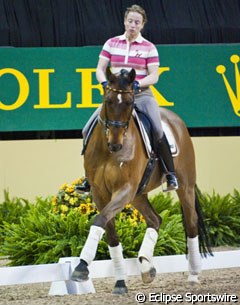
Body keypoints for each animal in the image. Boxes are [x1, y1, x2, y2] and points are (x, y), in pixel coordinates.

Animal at [71, 67, 210, 292]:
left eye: (129, 103)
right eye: (108, 100)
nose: (116, 144)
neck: (108, 151)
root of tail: (175, 120)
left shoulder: (124, 189)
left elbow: (100, 220)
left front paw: (81, 267)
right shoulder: (100, 193)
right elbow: (110, 234)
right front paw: (119, 282)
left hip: (185, 186)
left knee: (191, 223)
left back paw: (193, 275)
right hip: (138, 194)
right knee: (155, 219)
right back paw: (146, 266)